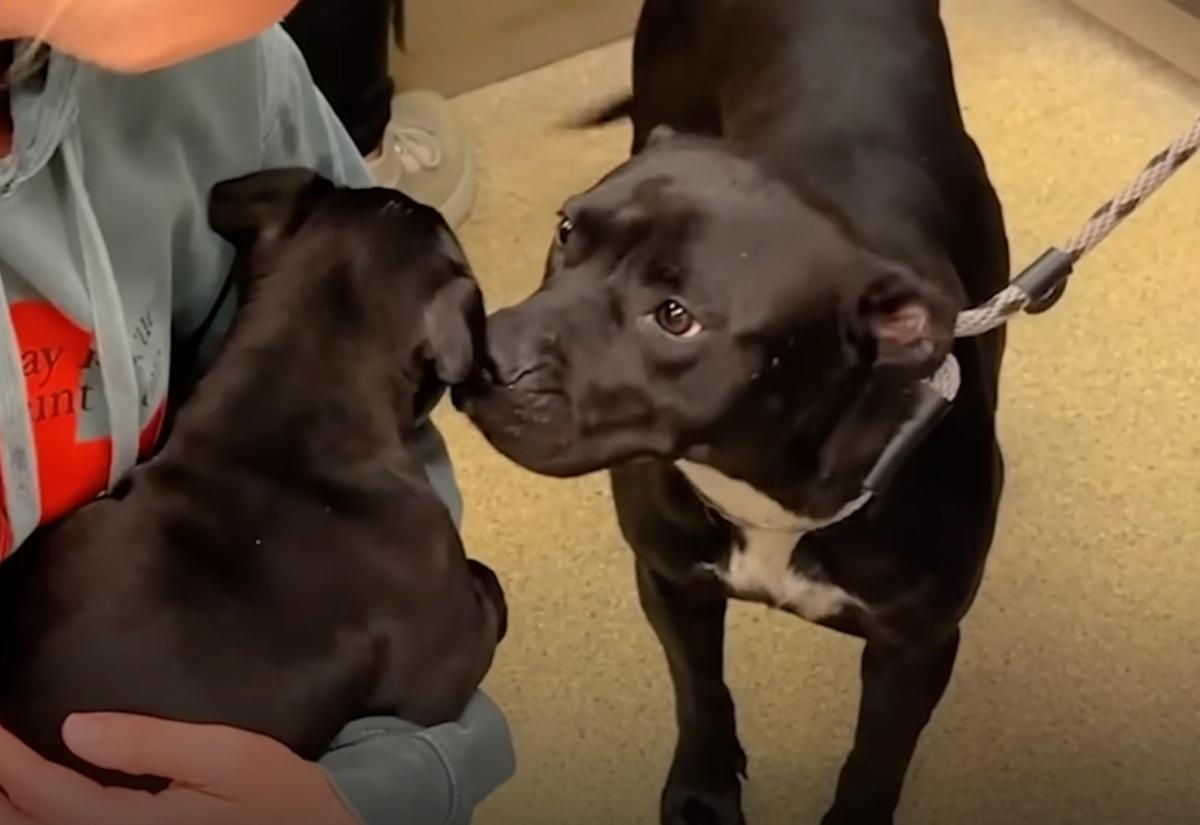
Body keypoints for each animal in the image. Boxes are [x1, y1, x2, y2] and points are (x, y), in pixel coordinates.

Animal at [456, 1, 1003, 825]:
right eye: (564, 231)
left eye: (675, 317)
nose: (479, 354)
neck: (765, 488)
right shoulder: (672, 581)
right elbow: (701, 691)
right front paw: (704, 790)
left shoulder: (917, 649)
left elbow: (876, 759)